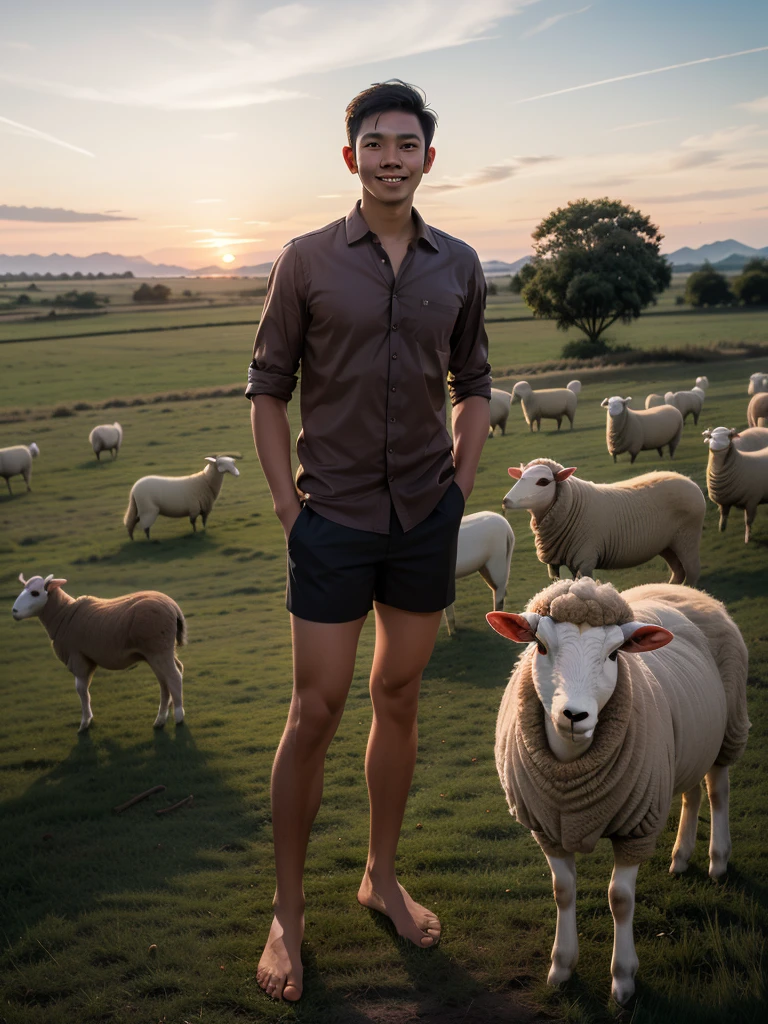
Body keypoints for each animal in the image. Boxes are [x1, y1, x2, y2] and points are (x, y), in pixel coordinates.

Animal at [12, 573, 188, 733]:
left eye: (35, 593)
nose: (14, 611)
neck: (63, 614)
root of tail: (173, 607)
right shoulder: (87, 658)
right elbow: (85, 689)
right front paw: (88, 718)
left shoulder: (77, 656)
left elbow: (81, 690)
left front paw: (84, 723)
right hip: (158, 651)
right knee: (168, 678)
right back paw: (161, 718)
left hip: (158, 649)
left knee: (173, 676)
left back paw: (178, 716)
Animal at [489, 581, 749, 1003]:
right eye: (540, 646)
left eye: (614, 654)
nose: (574, 715)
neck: (572, 778)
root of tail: (677, 587)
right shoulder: (547, 829)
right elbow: (563, 890)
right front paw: (561, 968)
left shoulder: (635, 829)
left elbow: (621, 900)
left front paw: (623, 980)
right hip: (684, 748)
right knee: (691, 794)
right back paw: (681, 857)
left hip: (729, 728)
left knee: (717, 791)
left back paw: (718, 861)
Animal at [505, 458, 704, 585]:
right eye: (520, 477)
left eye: (543, 481)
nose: (506, 501)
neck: (572, 505)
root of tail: (688, 481)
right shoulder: (561, 563)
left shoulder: (585, 559)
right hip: (667, 545)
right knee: (678, 571)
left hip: (687, 537)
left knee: (692, 571)